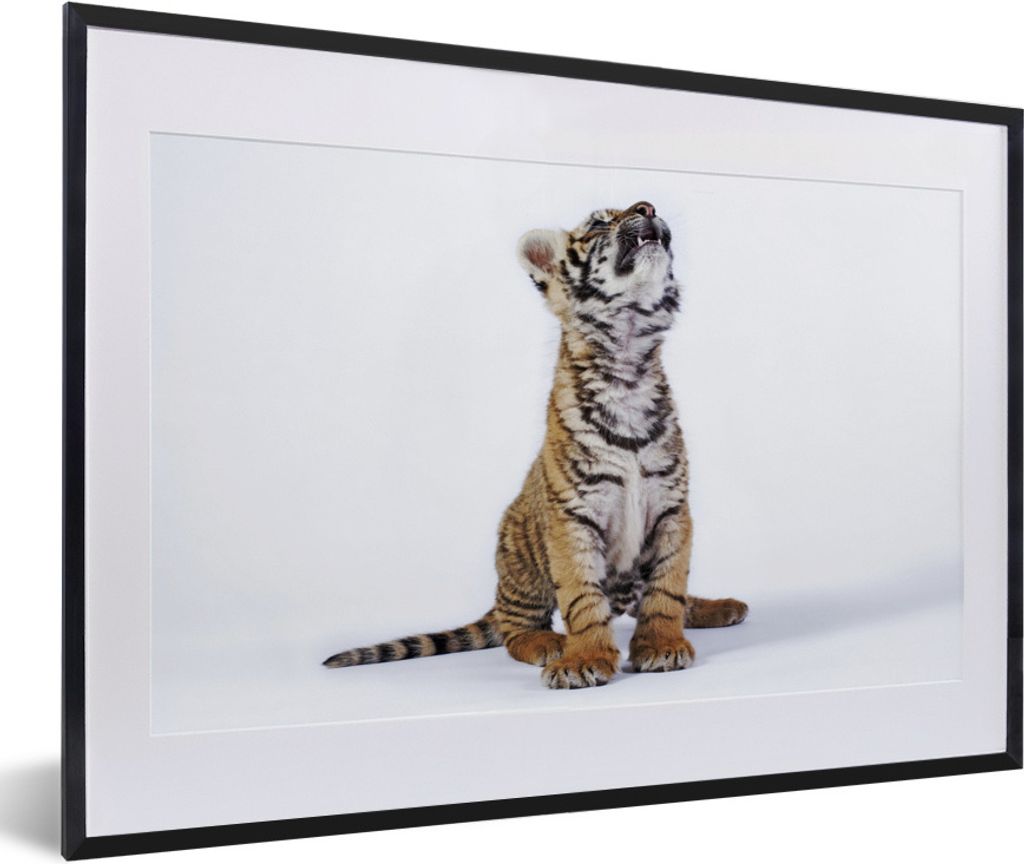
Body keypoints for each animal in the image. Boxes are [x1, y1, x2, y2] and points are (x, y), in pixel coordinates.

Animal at [324, 201, 748, 688]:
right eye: (599, 223)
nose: (648, 206)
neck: (627, 359)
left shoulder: (672, 507)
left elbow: (667, 587)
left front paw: (662, 645)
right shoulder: (572, 515)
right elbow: (582, 598)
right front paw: (584, 658)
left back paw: (719, 607)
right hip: (520, 556)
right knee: (515, 628)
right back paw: (549, 643)